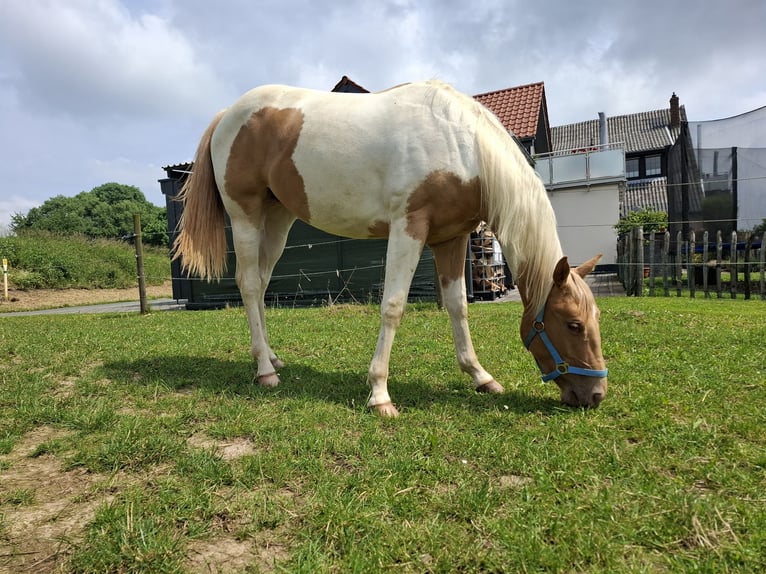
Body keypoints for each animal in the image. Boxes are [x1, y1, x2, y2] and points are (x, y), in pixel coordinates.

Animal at [174, 80, 612, 418]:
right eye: (573, 324)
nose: (594, 396)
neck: (461, 145)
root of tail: (228, 114)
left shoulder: (451, 238)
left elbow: (458, 306)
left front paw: (481, 376)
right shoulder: (408, 228)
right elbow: (394, 306)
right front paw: (380, 394)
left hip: (278, 218)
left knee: (263, 284)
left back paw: (270, 356)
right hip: (245, 215)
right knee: (249, 284)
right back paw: (266, 371)